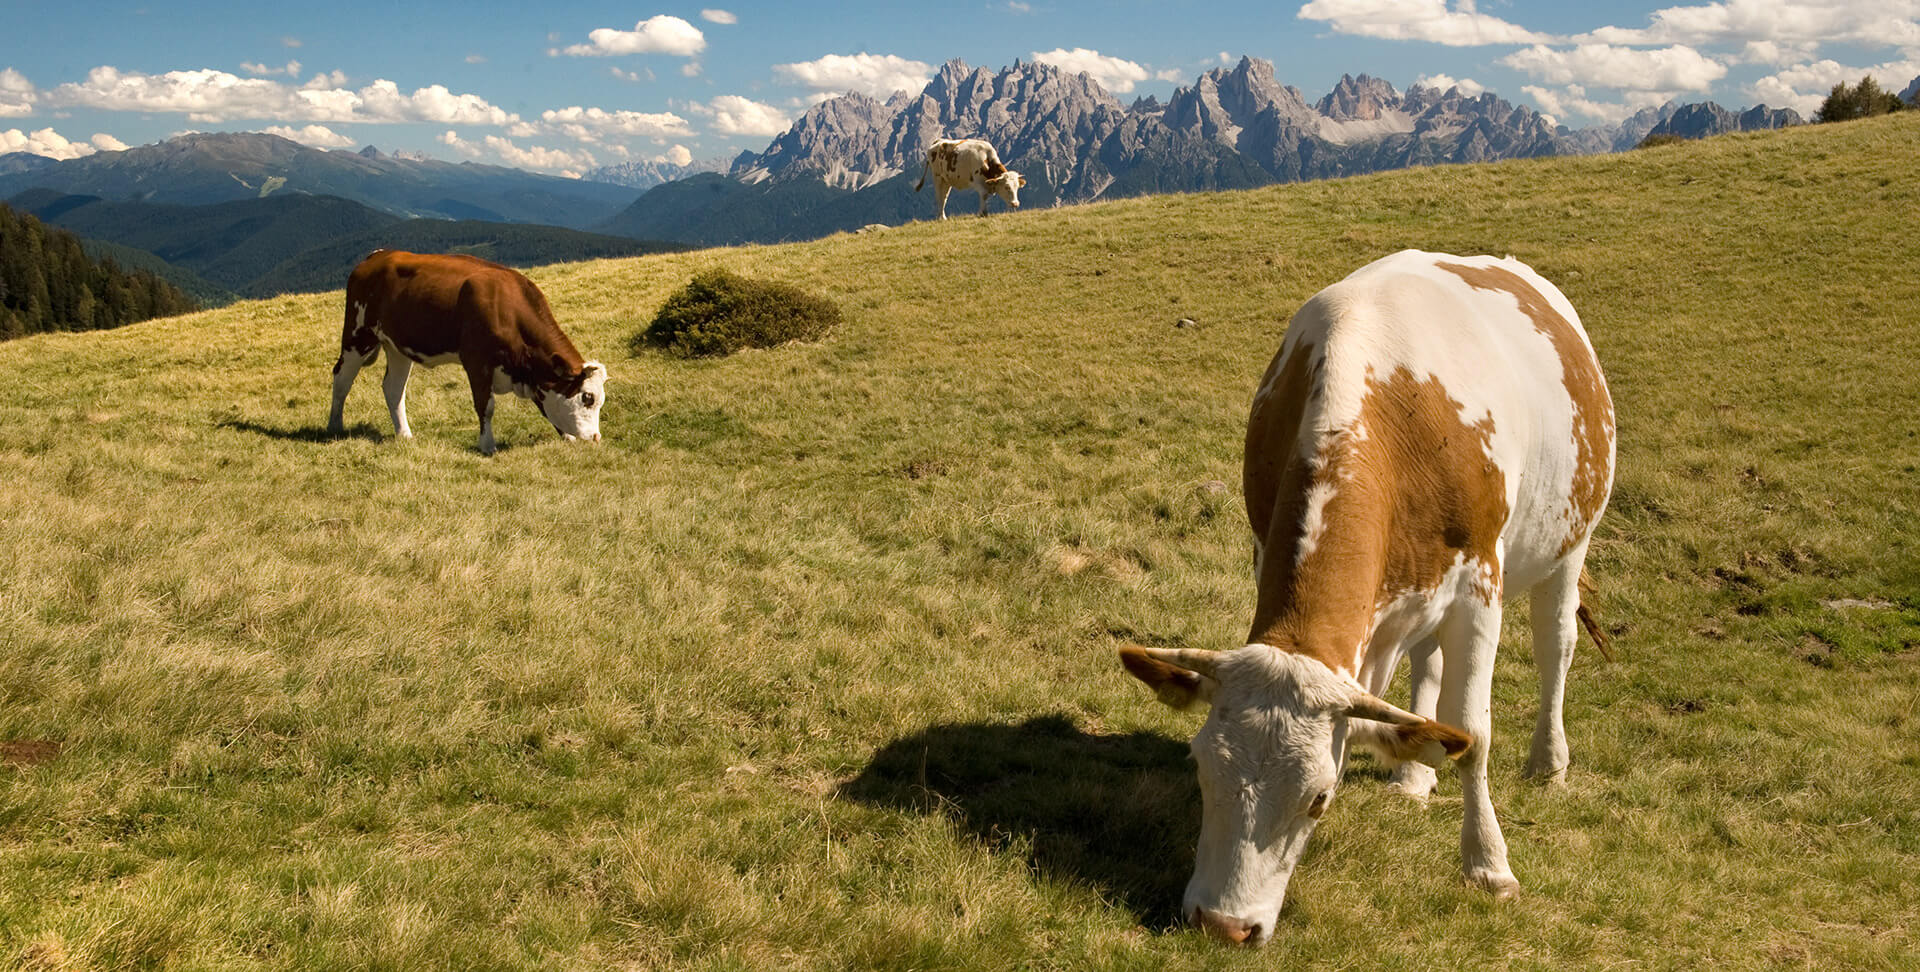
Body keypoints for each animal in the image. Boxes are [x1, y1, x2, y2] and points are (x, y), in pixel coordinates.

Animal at [326, 245, 602, 451]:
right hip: (358, 334)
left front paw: (568, 437)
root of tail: (377, 255)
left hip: (396, 347)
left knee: (393, 389)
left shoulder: (531, 373)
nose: (596, 437)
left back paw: (404, 434)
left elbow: (545, 406)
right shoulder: (477, 361)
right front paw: (487, 445)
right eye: (587, 397)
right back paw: (334, 426)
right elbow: (486, 407)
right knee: (341, 379)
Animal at [1121, 245, 1612, 945]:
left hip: (1570, 539)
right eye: (1200, 770)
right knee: (1428, 662)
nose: (1223, 925)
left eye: (1318, 798)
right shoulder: (1272, 551)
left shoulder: (1479, 587)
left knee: (1556, 646)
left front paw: (1489, 866)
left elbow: (1474, 730)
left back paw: (1548, 762)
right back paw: (1413, 776)